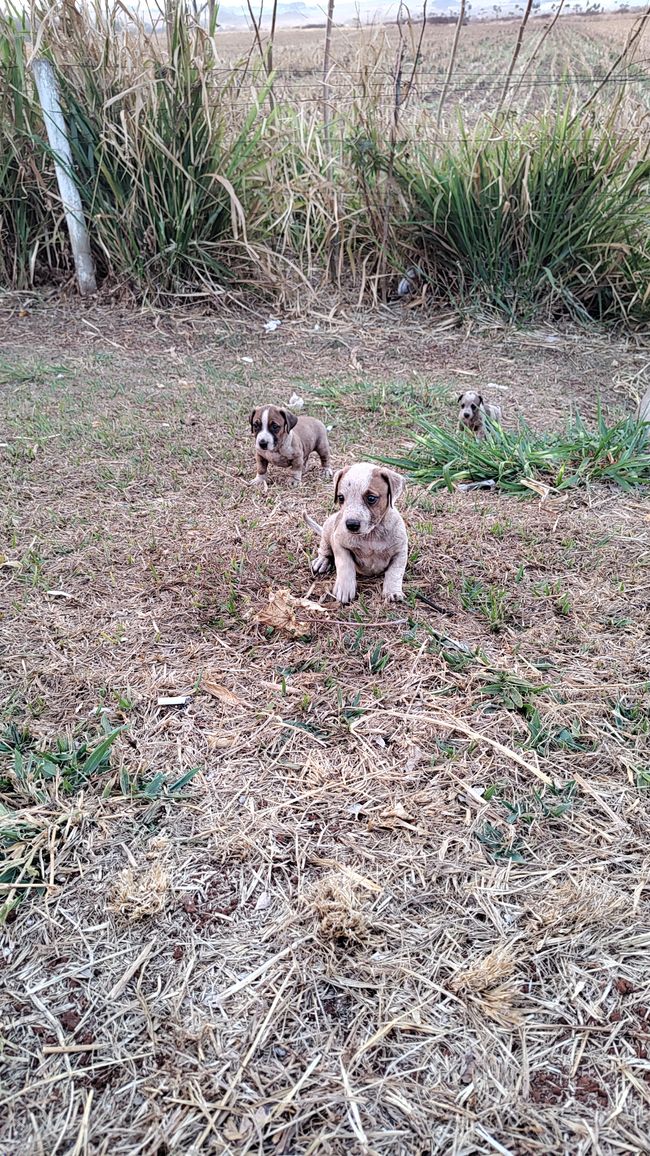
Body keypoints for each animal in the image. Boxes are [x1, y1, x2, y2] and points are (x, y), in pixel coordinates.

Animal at [303, 460, 404, 605]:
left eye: (371, 498)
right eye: (340, 498)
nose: (351, 524)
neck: (371, 535)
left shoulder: (400, 552)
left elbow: (395, 572)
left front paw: (393, 591)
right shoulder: (339, 543)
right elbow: (345, 564)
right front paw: (345, 588)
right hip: (328, 527)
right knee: (324, 548)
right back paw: (322, 561)